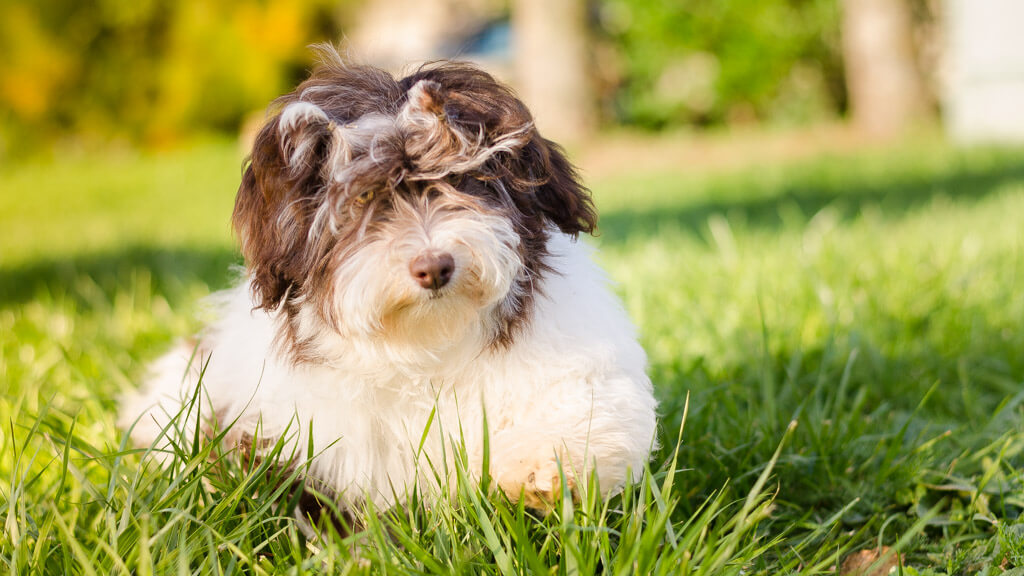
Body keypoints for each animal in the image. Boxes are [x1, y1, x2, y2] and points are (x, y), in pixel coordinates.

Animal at [119, 44, 659, 518]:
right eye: (361, 199)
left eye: (461, 179)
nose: (435, 266)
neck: (429, 342)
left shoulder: (583, 369)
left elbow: (589, 413)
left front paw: (542, 469)